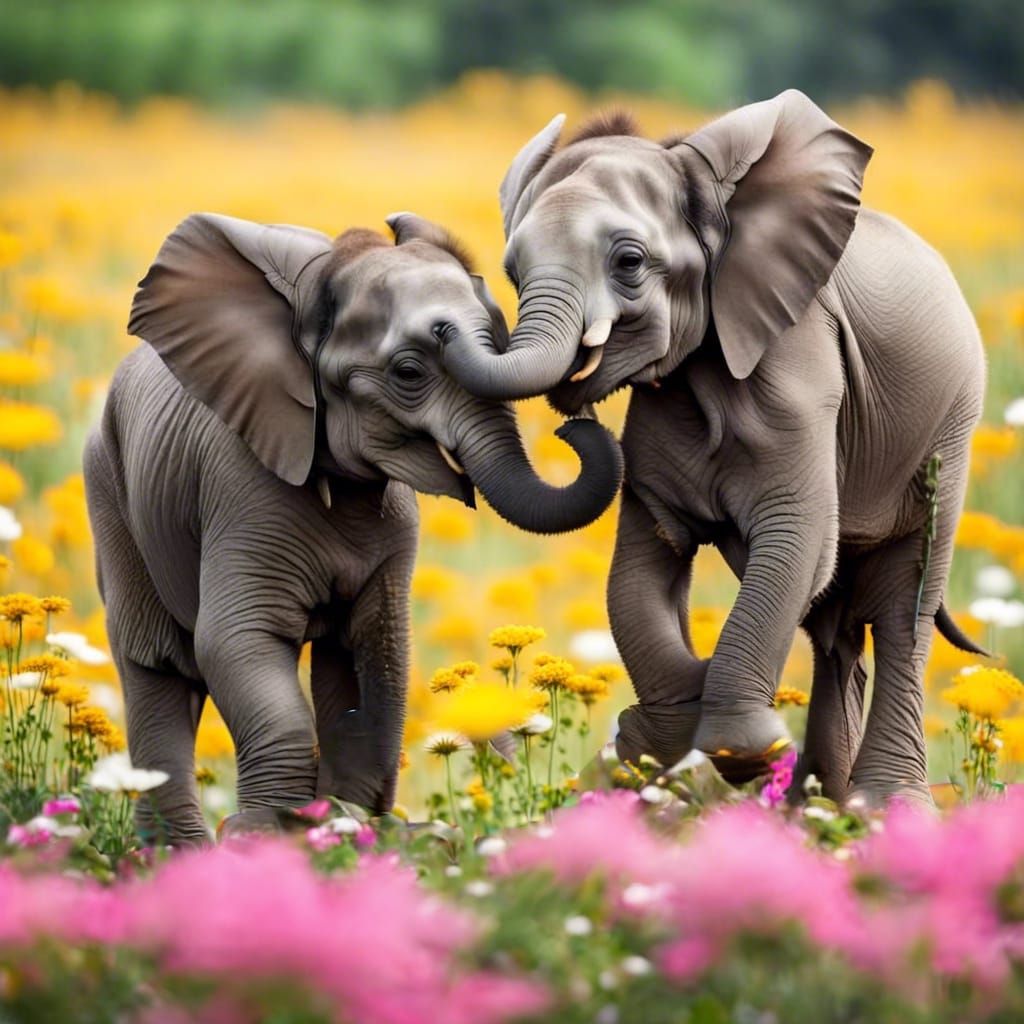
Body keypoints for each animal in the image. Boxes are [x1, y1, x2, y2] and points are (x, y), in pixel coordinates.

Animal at [84, 211, 623, 844]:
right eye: (409, 372)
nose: (574, 424)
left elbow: (378, 652)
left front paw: (352, 825)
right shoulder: (237, 489)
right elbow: (236, 639)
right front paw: (271, 831)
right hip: (109, 488)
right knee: (156, 662)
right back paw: (171, 851)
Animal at [438, 90, 987, 804]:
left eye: (629, 263)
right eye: (511, 270)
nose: (574, 423)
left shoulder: (803, 374)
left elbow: (794, 540)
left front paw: (736, 751)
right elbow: (642, 570)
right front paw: (664, 733)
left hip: (952, 428)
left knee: (903, 605)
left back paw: (880, 806)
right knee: (833, 627)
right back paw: (816, 802)